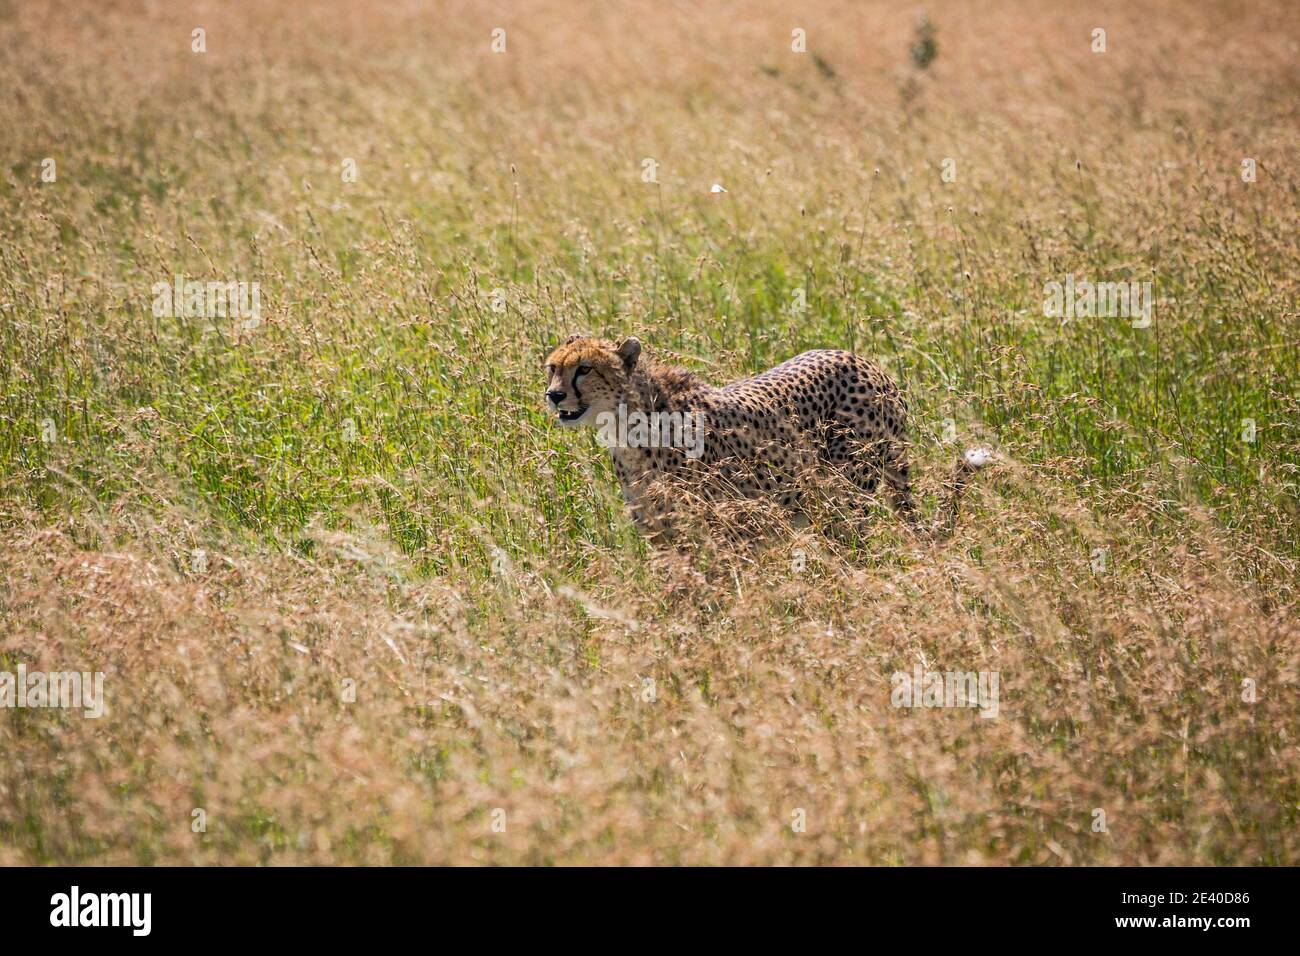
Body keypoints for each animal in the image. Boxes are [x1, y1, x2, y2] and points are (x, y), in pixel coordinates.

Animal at [543, 335, 987, 541]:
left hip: (846, 494)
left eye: (584, 369)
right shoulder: (663, 534)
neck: (627, 424)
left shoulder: (725, 530)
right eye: (552, 368)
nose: (554, 395)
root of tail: (866, 362)